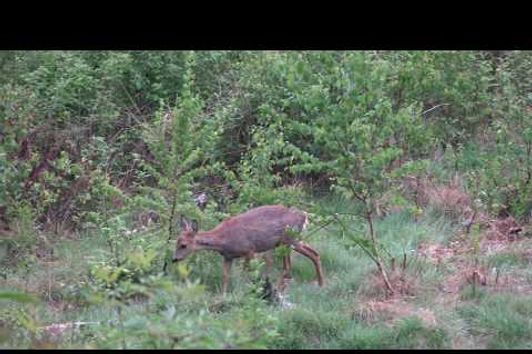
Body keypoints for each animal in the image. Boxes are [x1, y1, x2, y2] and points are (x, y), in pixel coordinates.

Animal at [172, 203, 326, 294]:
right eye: (176, 242)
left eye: (183, 245)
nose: (174, 259)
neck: (223, 240)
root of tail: (304, 215)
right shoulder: (227, 257)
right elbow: (225, 276)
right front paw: (222, 296)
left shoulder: (250, 250)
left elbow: (247, 273)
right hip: (294, 241)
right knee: (315, 254)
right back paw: (320, 285)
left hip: (287, 240)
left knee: (289, 267)